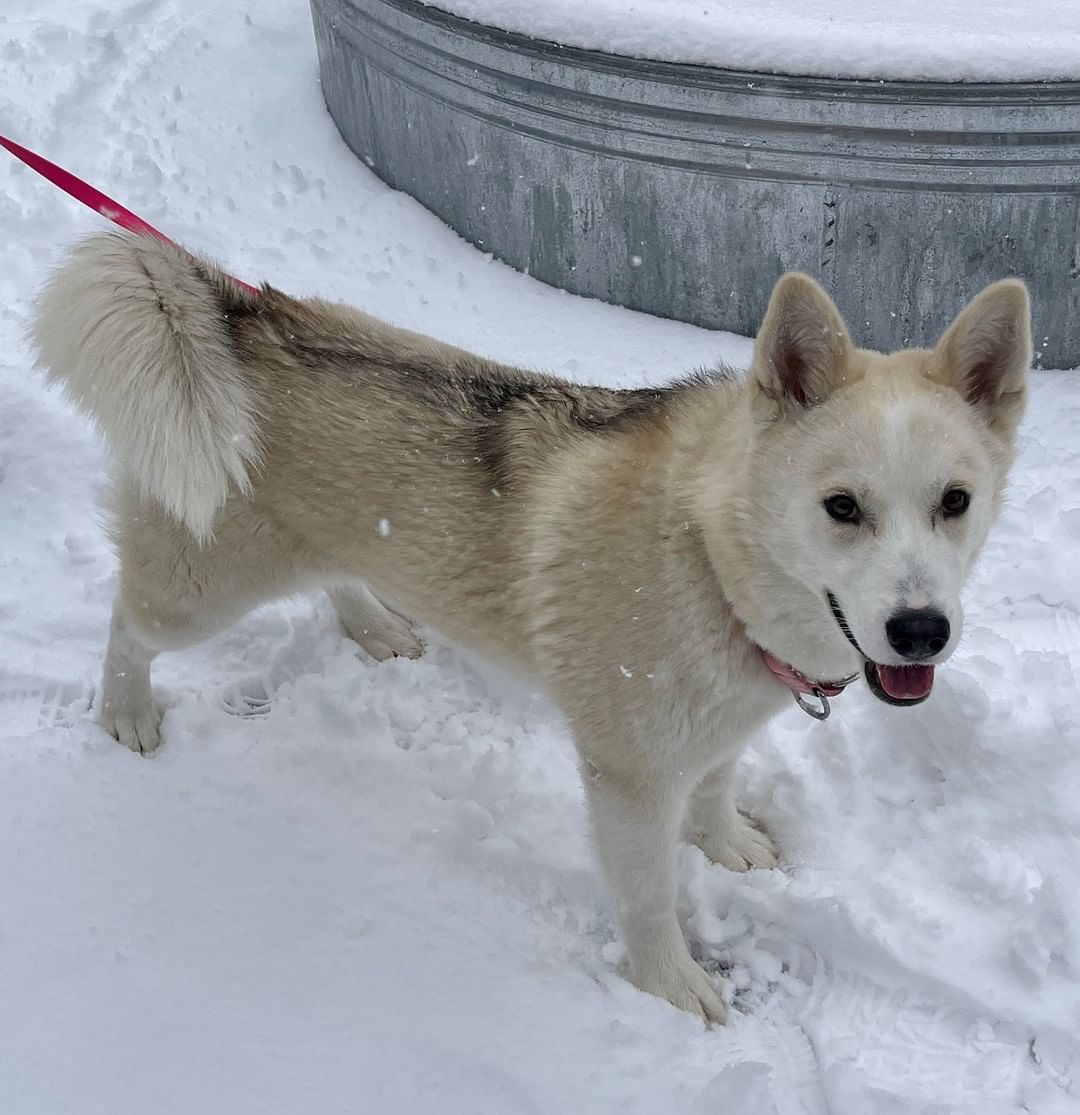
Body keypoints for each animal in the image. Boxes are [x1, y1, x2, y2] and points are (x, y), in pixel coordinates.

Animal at [33, 233, 1029, 1021]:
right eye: (841, 506)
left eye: (954, 501)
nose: (920, 630)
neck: (711, 559)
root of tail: (238, 314)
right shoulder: (629, 778)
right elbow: (649, 898)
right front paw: (672, 986)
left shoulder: (718, 730)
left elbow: (714, 793)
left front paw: (727, 844)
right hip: (200, 587)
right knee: (129, 619)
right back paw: (125, 710)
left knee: (337, 575)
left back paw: (374, 627)